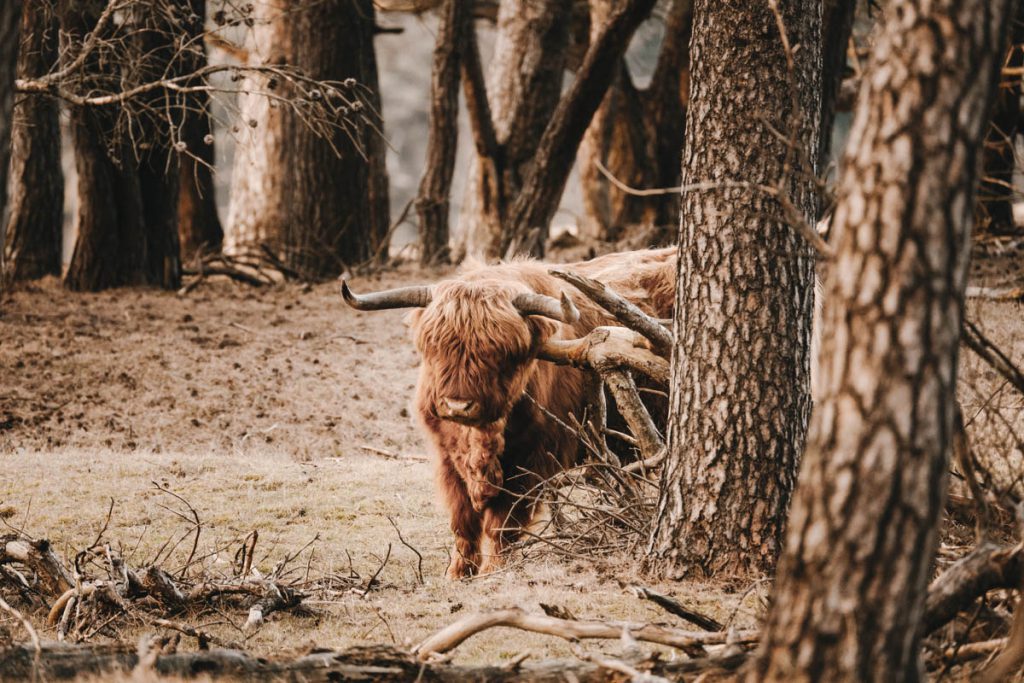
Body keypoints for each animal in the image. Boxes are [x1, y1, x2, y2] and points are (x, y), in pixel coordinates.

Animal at [344, 245, 675, 577]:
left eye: (500, 352)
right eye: (435, 346)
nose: (458, 405)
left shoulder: (534, 460)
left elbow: (503, 525)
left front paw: (493, 570)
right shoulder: (446, 459)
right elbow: (462, 523)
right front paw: (458, 573)